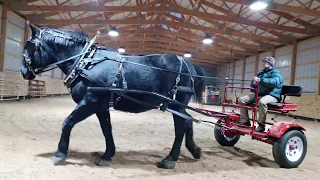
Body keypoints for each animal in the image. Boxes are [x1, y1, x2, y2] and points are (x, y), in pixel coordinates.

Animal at [19, 22, 205, 169]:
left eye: (29, 46)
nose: (22, 72)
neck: (85, 61)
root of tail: (188, 64)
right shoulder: (100, 106)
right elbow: (106, 129)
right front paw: (107, 155)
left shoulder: (90, 102)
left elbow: (68, 122)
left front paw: (60, 153)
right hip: (177, 106)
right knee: (188, 120)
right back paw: (194, 150)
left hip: (176, 104)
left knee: (180, 127)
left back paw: (170, 159)